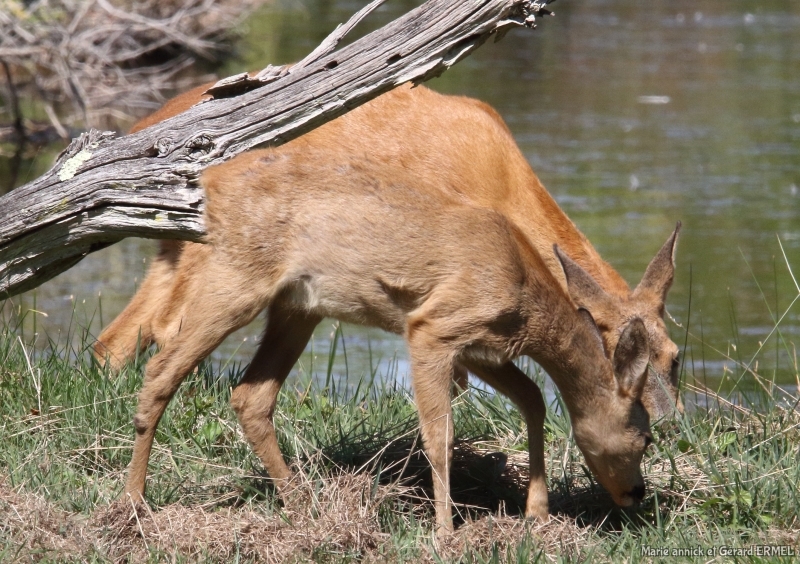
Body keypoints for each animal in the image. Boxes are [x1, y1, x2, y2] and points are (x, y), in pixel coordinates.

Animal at [94, 83, 680, 420]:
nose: (670, 425)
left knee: (116, 337)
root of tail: (145, 127)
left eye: (674, 358)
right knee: (166, 327)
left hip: (171, 247)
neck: (500, 185)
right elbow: (453, 376)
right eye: (615, 356)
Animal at [122, 145, 652, 532]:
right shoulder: (433, 327)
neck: (524, 296)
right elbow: (440, 435)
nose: (638, 493)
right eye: (646, 436)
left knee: (250, 395)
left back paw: (301, 505)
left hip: (297, 307)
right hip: (238, 278)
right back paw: (133, 505)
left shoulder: (481, 347)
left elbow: (534, 399)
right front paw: (445, 531)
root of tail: (210, 185)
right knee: (161, 369)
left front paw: (536, 512)